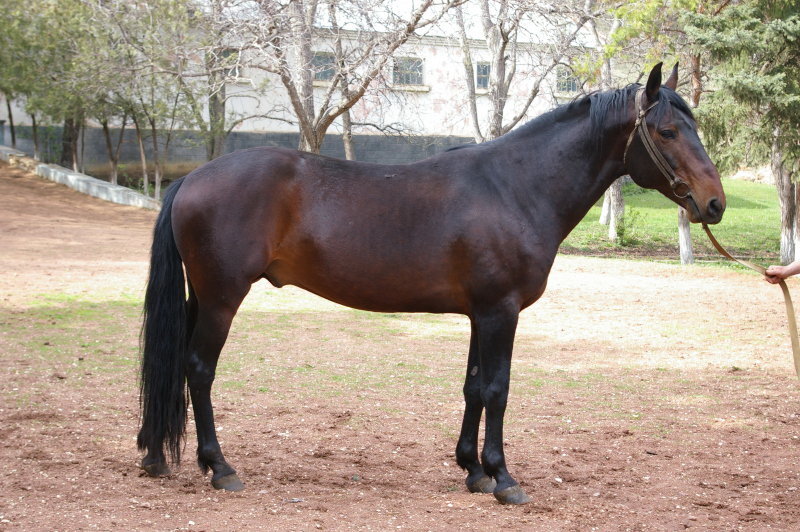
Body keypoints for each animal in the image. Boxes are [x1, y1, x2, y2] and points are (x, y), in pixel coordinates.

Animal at [136, 62, 724, 502]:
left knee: (174, 364)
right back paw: (220, 467)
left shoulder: (481, 313)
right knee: (199, 369)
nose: (715, 203)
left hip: (200, 297)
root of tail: (192, 177)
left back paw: (155, 454)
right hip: (221, 298)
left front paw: (473, 471)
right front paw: (503, 478)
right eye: (668, 131)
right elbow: (498, 389)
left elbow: (473, 387)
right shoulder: (500, 312)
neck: (515, 186)